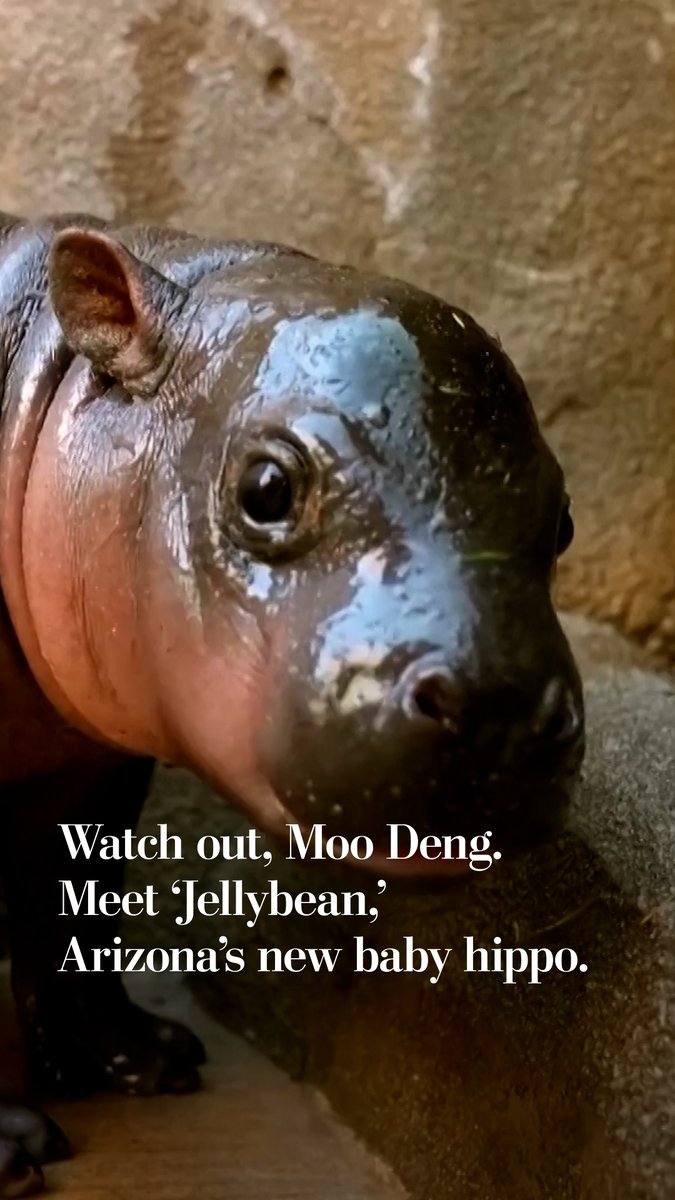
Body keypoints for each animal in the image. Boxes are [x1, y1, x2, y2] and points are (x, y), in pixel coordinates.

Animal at [0, 212, 584, 1194]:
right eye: (265, 488)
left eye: (565, 520)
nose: (500, 702)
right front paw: (16, 1150)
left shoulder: (96, 767)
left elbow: (76, 906)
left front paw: (147, 1062)